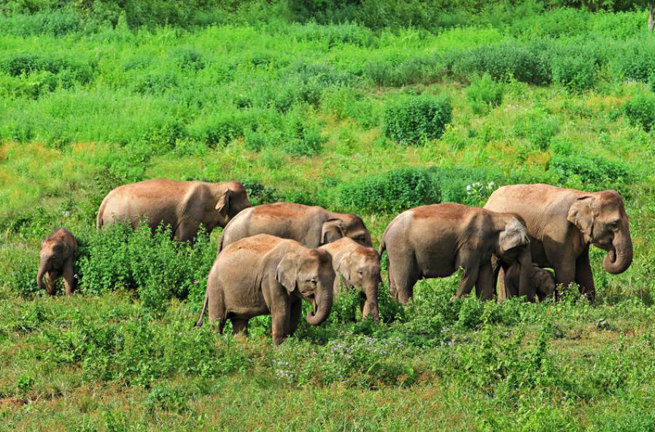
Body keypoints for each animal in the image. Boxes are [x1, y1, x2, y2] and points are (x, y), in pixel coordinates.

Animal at [97, 177, 251, 241]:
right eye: (245, 207)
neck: (217, 186)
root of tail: (104, 202)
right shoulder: (190, 218)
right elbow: (184, 242)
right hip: (116, 222)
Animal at [195, 233, 336, 344]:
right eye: (313, 281)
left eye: (335, 278)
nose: (312, 311)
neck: (300, 250)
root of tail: (214, 262)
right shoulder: (271, 280)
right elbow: (281, 312)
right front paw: (280, 349)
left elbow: (295, 312)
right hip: (216, 288)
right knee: (217, 322)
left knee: (239, 322)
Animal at [376, 202, 536, 304]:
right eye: (524, 245)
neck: (497, 216)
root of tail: (386, 231)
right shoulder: (471, 244)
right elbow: (468, 273)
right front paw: (453, 302)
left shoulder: (482, 250)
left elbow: (484, 275)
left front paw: (486, 307)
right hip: (401, 250)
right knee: (406, 282)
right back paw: (410, 310)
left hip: (393, 253)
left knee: (394, 285)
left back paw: (397, 309)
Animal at [484, 183, 632, 300]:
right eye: (614, 224)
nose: (611, 253)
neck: (586, 195)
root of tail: (489, 199)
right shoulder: (558, 231)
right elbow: (566, 268)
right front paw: (565, 306)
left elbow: (583, 268)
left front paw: (591, 305)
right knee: (494, 266)